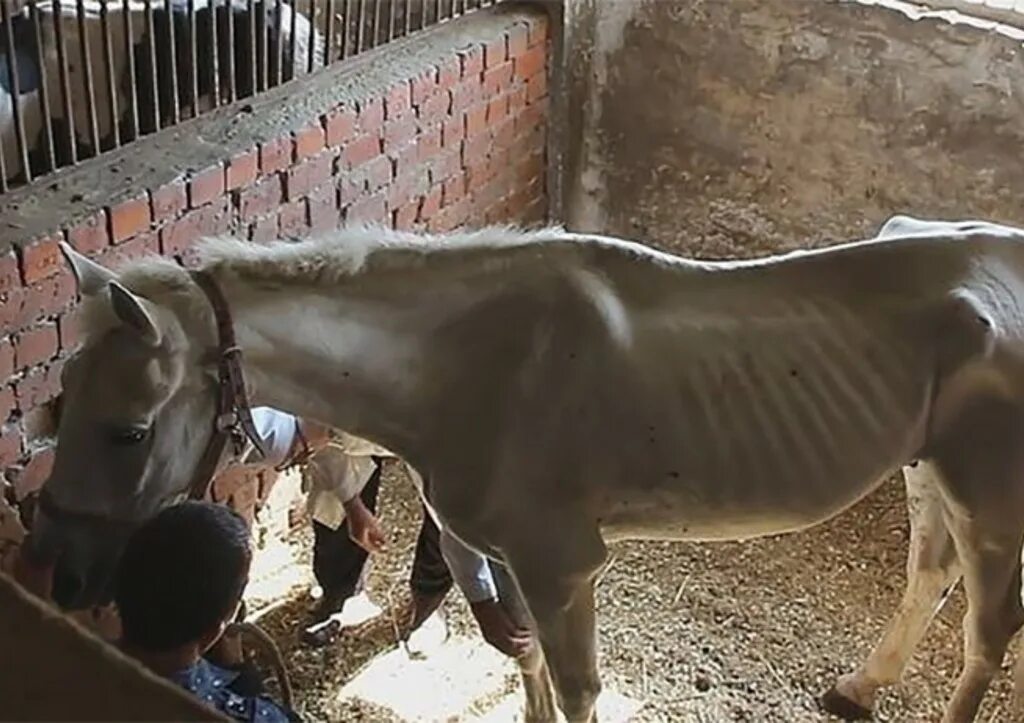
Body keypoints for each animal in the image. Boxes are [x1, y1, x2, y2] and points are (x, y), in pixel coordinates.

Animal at [22, 215, 1024, 720]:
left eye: (127, 432)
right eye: (58, 403)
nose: (57, 574)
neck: (471, 364)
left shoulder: (562, 564)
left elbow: (574, 689)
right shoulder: (504, 558)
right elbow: (529, 666)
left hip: (988, 494)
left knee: (986, 632)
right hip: (924, 470)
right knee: (928, 574)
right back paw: (858, 688)